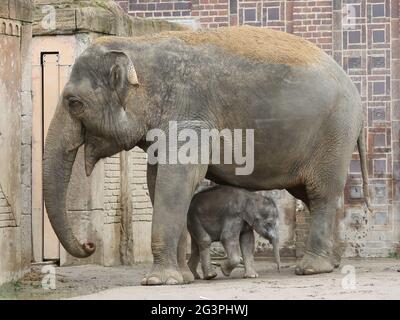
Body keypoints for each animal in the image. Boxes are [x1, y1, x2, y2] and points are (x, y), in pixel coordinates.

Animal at [42, 25, 370, 284]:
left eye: (74, 103)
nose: (89, 245)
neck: (140, 44)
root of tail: (357, 95)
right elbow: (157, 180)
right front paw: (184, 278)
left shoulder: (190, 115)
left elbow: (177, 179)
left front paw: (158, 281)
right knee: (311, 194)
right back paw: (333, 263)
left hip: (334, 133)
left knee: (321, 193)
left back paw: (311, 269)